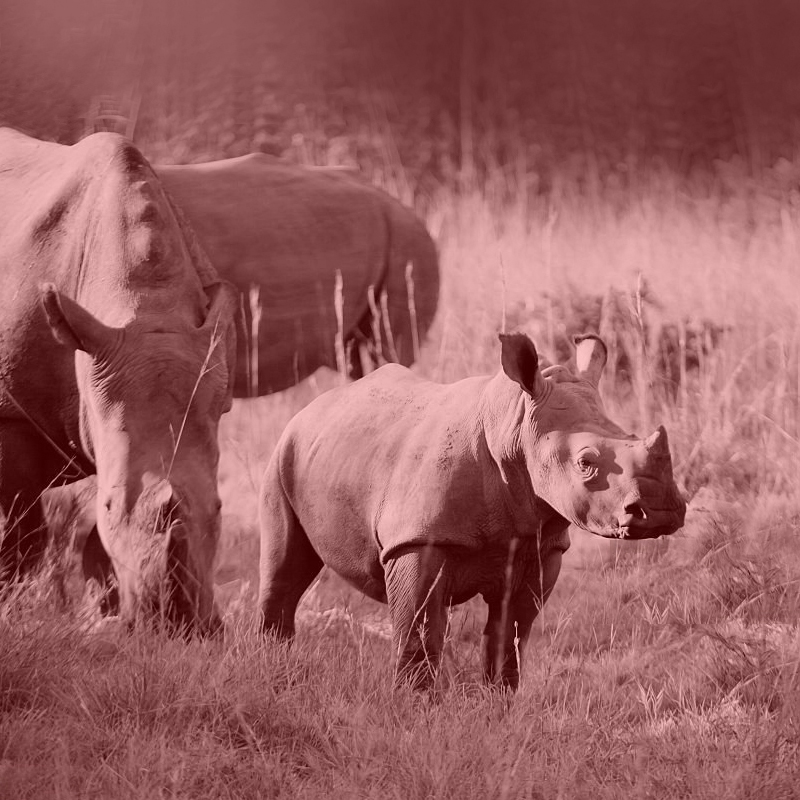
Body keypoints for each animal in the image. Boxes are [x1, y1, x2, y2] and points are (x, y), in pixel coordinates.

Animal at [0, 128, 238, 633]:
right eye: (110, 505)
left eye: (220, 508)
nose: (175, 624)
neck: (144, 300)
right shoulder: (11, 414)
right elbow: (20, 531)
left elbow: (94, 543)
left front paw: (106, 617)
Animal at [259, 333, 686, 689]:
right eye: (586, 463)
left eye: (632, 436)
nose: (661, 511)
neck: (514, 425)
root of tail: (314, 404)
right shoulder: (418, 541)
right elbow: (420, 631)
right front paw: (414, 708)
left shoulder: (538, 546)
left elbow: (511, 633)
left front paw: (499, 704)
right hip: (284, 452)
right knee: (284, 570)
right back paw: (275, 674)